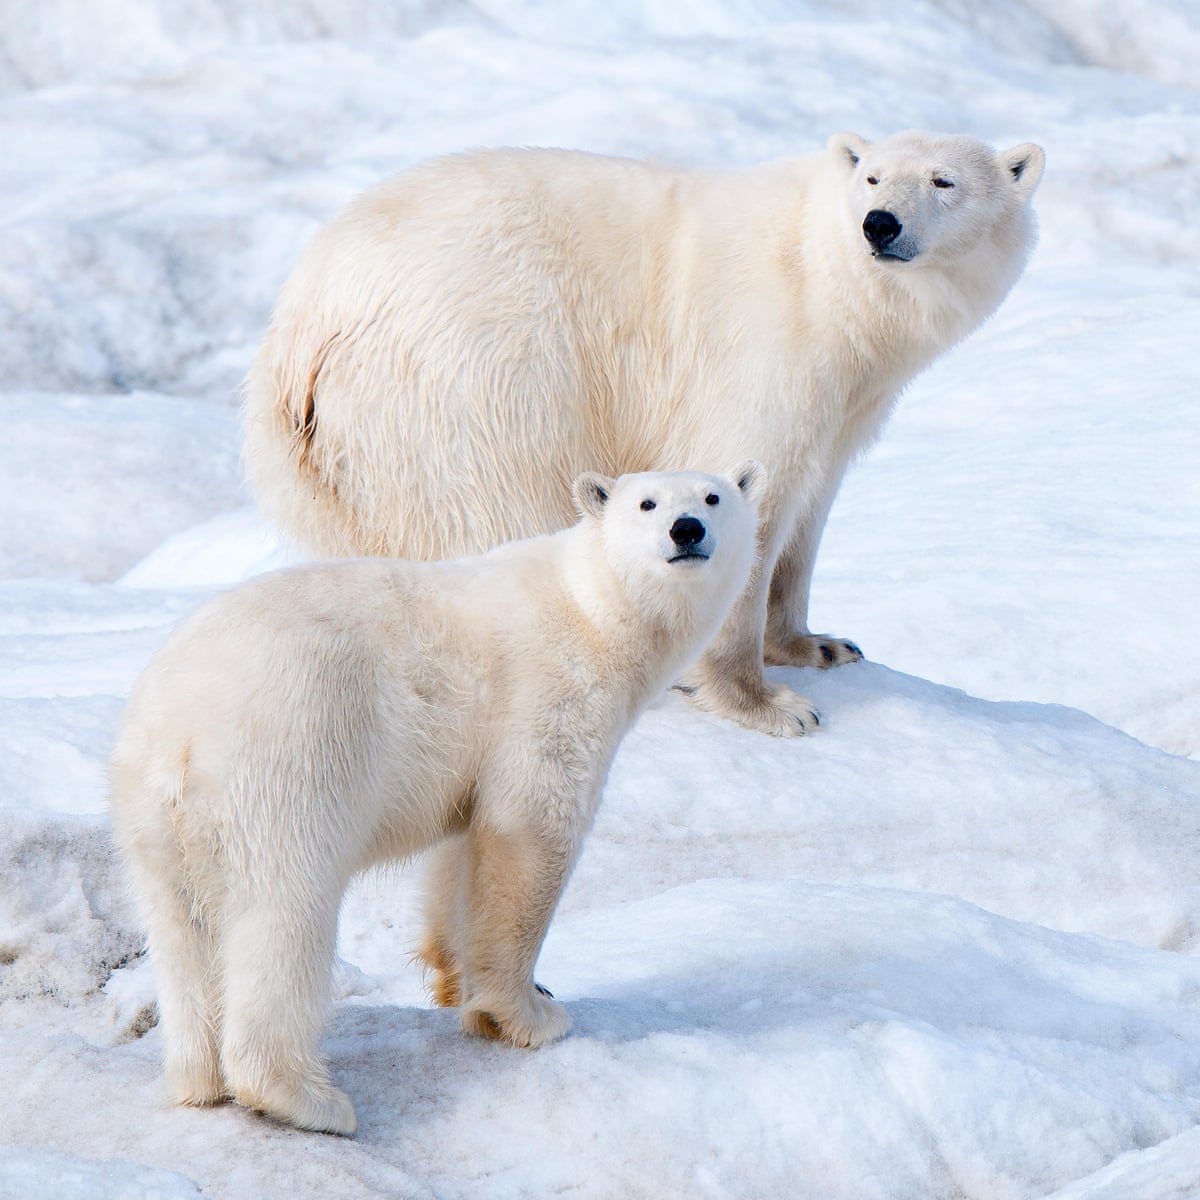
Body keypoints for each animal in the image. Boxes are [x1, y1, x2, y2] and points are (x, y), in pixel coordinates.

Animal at [108, 464, 764, 1136]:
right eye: (647, 503)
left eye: (713, 496)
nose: (687, 529)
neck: (593, 610)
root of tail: (180, 730)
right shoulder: (548, 694)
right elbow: (529, 831)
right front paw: (527, 1014)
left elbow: (463, 848)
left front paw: (458, 984)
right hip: (289, 761)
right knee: (285, 912)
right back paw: (307, 1098)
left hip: (151, 815)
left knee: (182, 928)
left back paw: (198, 1080)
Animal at [242, 130, 1045, 738]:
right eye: (874, 176)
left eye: (943, 180)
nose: (879, 223)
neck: (829, 285)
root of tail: (302, 323)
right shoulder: (763, 351)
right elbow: (744, 490)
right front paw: (770, 706)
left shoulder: (848, 400)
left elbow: (808, 510)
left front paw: (819, 645)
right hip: (475, 383)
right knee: (494, 513)